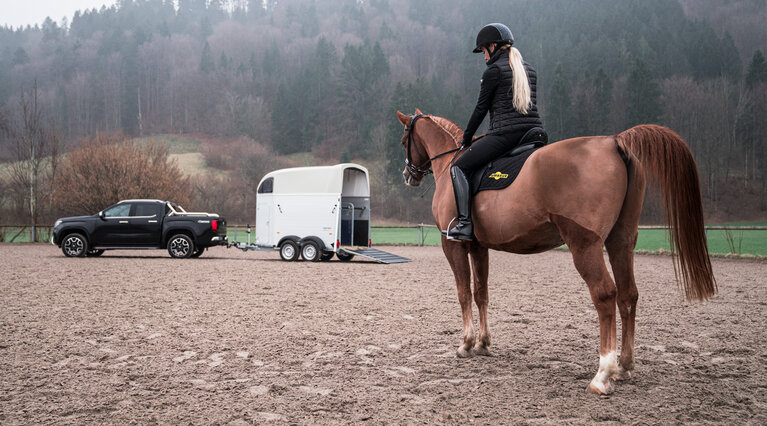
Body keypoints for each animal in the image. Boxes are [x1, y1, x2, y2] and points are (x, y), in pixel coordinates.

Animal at [400, 110, 716, 396]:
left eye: (405, 137)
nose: (408, 174)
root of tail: (614, 141)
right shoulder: (479, 246)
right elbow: (481, 293)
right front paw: (483, 343)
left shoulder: (452, 244)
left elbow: (463, 292)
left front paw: (466, 344)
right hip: (621, 242)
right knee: (628, 295)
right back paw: (624, 366)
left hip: (584, 244)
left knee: (605, 295)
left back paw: (603, 375)